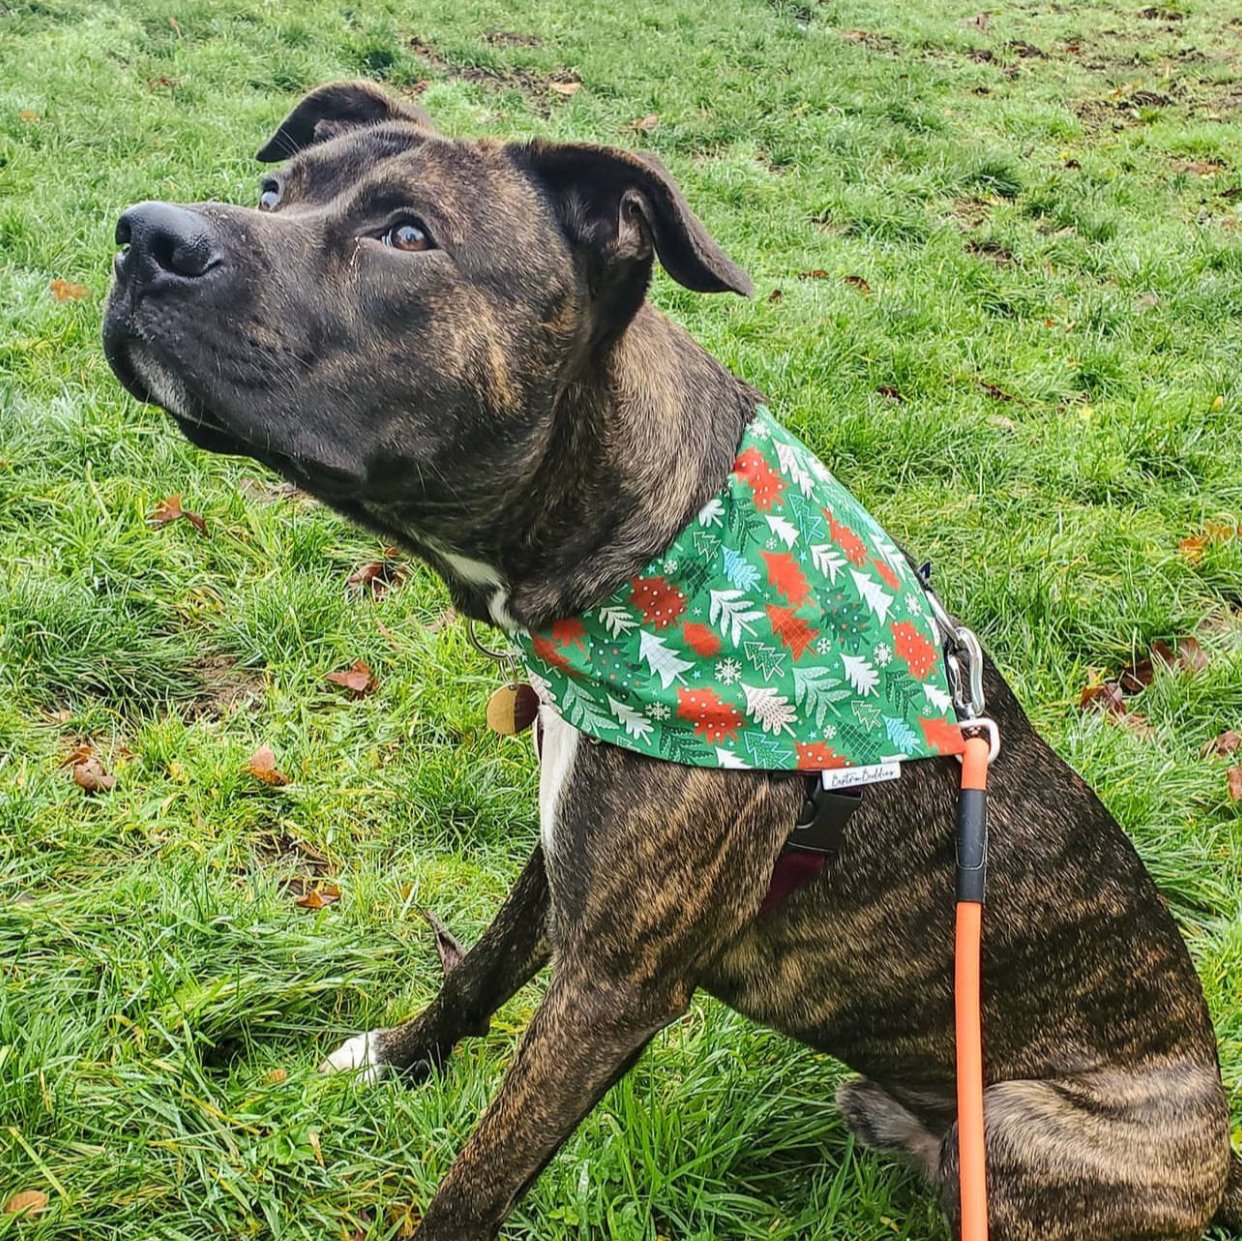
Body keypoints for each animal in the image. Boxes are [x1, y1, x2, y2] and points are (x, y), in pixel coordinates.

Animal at [99, 82, 1242, 1237]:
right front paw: (396, 1057)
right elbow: (477, 974)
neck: (652, 547)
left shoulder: (614, 986)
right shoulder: (566, 860)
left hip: (1010, 1124)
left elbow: (482, 1172)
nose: (145, 235)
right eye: (274, 192)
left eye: (407, 235)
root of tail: (1221, 1159)